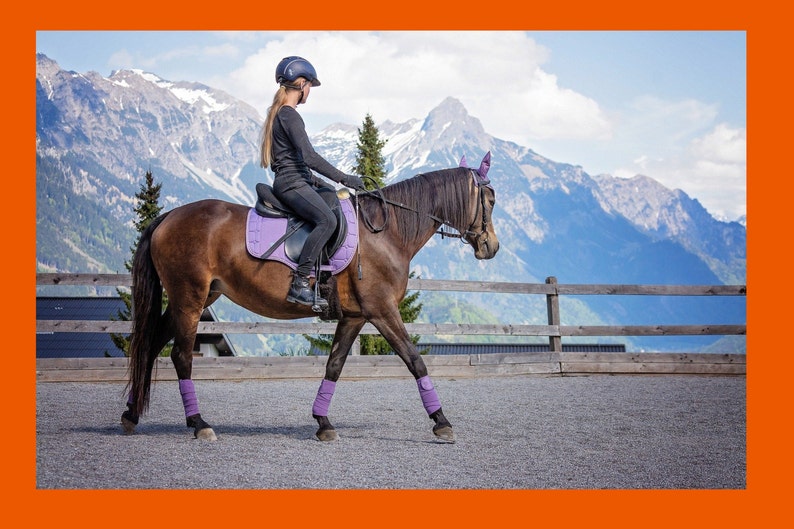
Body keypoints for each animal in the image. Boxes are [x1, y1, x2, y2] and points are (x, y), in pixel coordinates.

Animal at [121, 152, 499, 443]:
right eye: (491, 200)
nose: (491, 247)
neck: (386, 232)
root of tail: (169, 216)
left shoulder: (355, 316)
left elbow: (335, 365)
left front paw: (323, 423)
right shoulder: (382, 310)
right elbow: (414, 359)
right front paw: (442, 421)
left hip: (194, 298)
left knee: (151, 345)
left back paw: (131, 414)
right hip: (190, 298)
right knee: (181, 356)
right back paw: (199, 424)